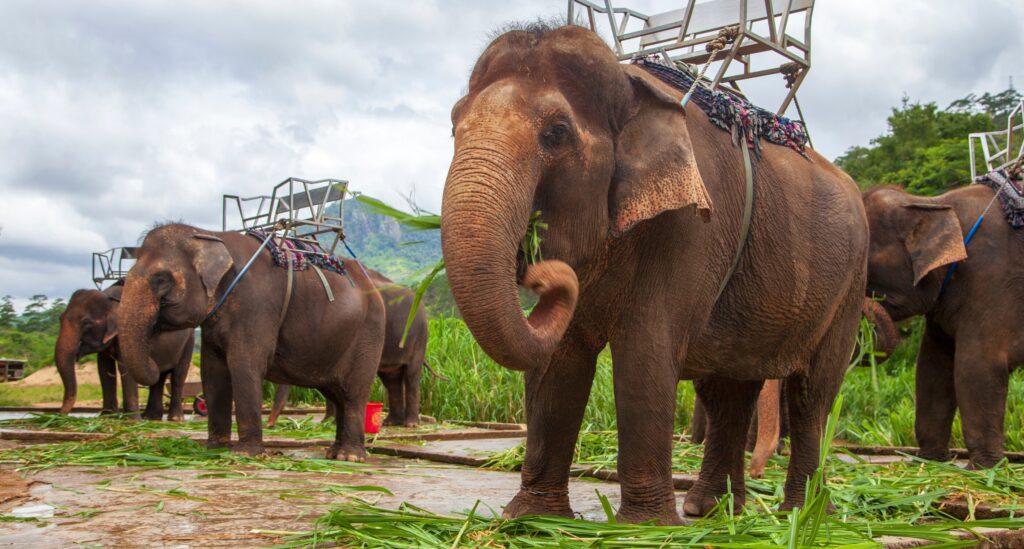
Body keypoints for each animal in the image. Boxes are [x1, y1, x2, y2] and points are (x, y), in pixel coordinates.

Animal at [54, 282, 193, 419]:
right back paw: (150, 417)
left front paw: (131, 420)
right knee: (160, 377)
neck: (110, 299)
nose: (60, 415)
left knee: (178, 376)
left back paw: (174, 419)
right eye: (60, 318)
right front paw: (107, 417)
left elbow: (125, 367)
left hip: (188, 343)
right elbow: (104, 368)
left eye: (86, 323)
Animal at [116, 223, 385, 458]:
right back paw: (334, 453)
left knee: (353, 394)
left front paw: (245, 454)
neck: (209, 235)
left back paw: (350, 457)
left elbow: (244, 364)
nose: (156, 364)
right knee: (336, 393)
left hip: (368, 335)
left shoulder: (255, 306)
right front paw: (215, 448)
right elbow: (212, 372)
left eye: (161, 279)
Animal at [266, 270, 430, 428]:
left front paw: (331, 422)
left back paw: (410, 424)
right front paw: (328, 422)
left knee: (411, 376)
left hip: (419, 338)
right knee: (391, 380)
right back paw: (391, 422)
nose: (269, 424)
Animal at [440, 24, 864, 522]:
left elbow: (645, 351)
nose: (542, 273)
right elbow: (559, 361)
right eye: (453, 126)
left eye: (556, 133)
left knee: (811, 395)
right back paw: (714, 511)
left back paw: (803, 516)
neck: (631, 87)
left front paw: (643, 527)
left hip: (849, 289)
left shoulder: (692, 226)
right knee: (727, 390)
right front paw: (533, 518)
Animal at [864, 184, 1024, 467]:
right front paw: (930, 461)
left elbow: (976, 366)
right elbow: (933, 367)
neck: (934, 203)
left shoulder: (991, 281)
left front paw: (983, 469)